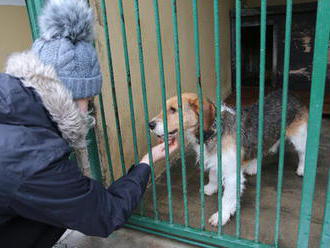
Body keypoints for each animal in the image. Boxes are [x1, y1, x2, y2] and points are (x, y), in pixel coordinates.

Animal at [148, 90, 308, 227]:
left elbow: (227, 199)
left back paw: (301, 169)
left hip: (298, 137)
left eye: (173, 110)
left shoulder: (232, 176)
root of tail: (291, 94)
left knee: (303, 153)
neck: (214, 130)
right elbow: (213, 176)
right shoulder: (215, 160)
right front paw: (211, 188)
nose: (150, 124)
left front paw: (221, 216)